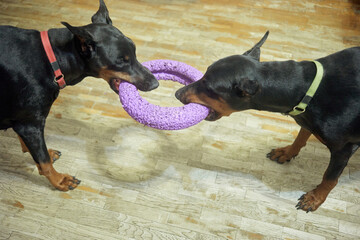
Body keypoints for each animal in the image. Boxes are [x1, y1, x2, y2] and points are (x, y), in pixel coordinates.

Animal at [0, 0, 158, 191]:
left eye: (134, 51)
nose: (155, 83)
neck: (53, 60)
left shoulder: (23, 120)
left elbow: (33, 148)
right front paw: (60, 180)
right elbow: (44, 162)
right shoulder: (30, 123)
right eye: (121, 61)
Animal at [176, 31, 360, 212]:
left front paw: (314, 198)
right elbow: (301, 136)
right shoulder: (306, 118)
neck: (307, 90)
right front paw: (287, 152)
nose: (177, 93)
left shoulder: (344, 149)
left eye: (208, 87)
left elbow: (330, 178)